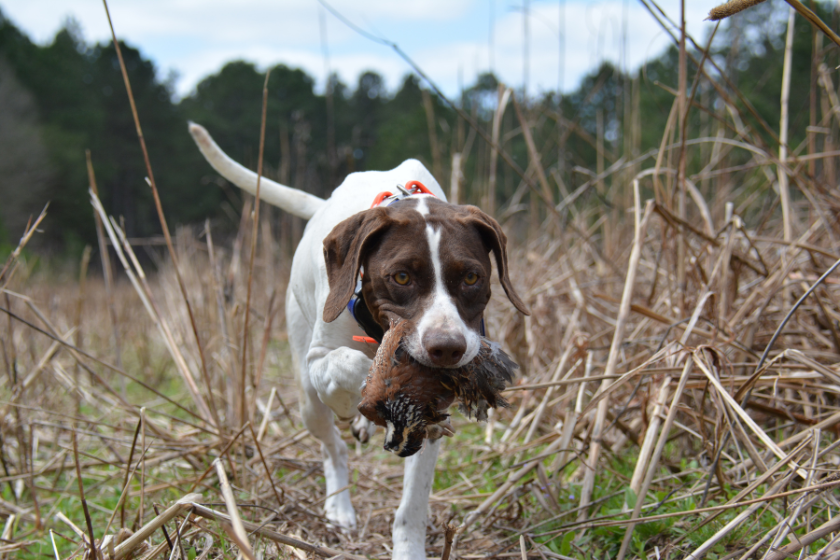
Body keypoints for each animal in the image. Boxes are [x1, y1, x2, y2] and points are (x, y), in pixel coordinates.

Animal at [191, 123, 528, 560]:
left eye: (471, 277)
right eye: (401, 277)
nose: (447, 348)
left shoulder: (433, 417)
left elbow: (413, 502)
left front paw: (408, 549)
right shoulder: (321, 358)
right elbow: (349, 364)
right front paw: (369, 389)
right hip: (306, 396)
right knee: (332, 447)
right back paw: (339, 502)